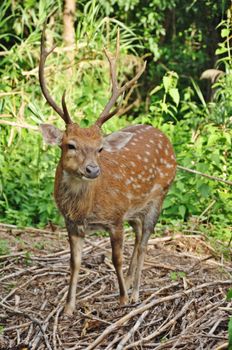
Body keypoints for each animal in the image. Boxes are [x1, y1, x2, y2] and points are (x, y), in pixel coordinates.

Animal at [39, 23, 177, 316]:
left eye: (100, 148)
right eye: (70, 145)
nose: (92, 170)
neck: (84, 209)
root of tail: (162, 135)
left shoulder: (115, 217)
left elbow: (116, 258)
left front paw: (122, 299)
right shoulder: (71, 224)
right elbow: (74, 263)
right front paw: (68, 307)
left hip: (160, 194)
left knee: (145, 241)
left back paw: (135, 292)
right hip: (136, 209)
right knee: (139, 236)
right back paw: (132, 283)